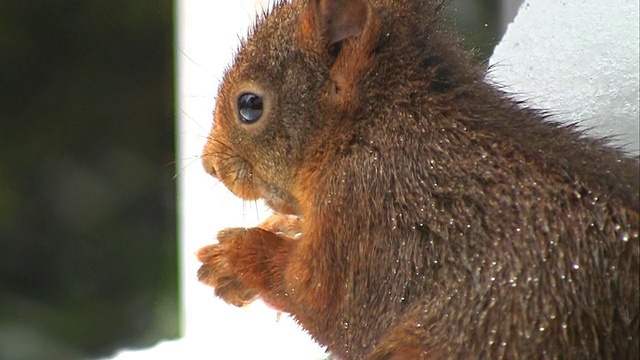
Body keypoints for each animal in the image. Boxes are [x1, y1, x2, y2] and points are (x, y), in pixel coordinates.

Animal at [198, 0, 636, 358]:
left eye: (249, 105)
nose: (209, 166)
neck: (372, 123)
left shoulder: (367, 213)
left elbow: (321, 301)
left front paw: (238, 255)